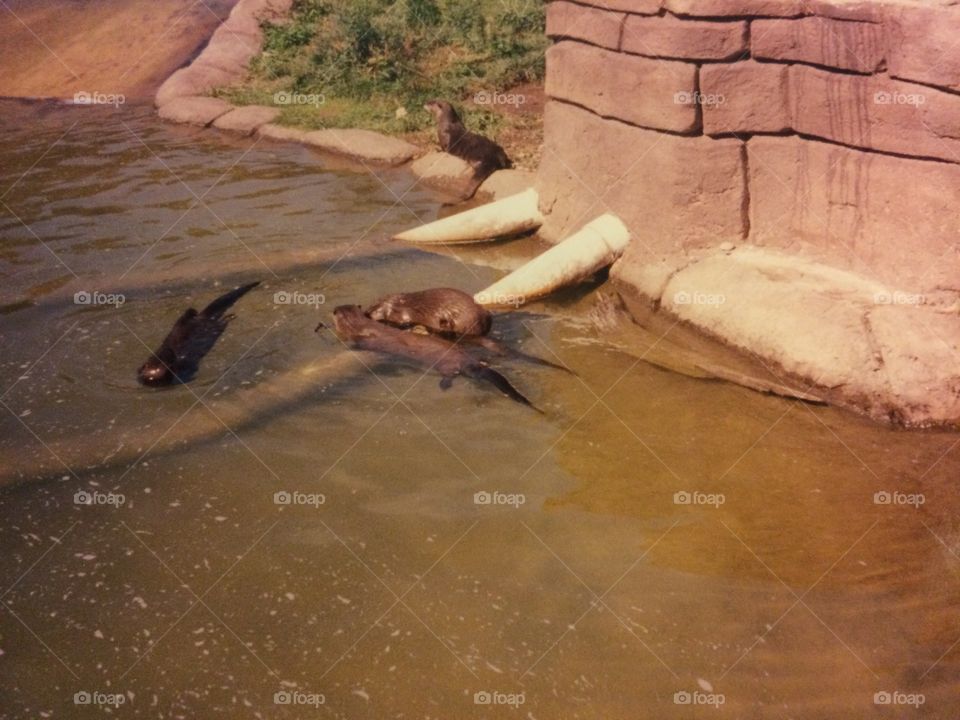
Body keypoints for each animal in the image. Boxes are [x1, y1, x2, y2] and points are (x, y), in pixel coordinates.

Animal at [327, 305, 539, 411]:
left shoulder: (365, 338)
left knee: (450, 375)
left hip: (447, 365)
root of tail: (471, 362)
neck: (361, 325)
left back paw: (443, 386)